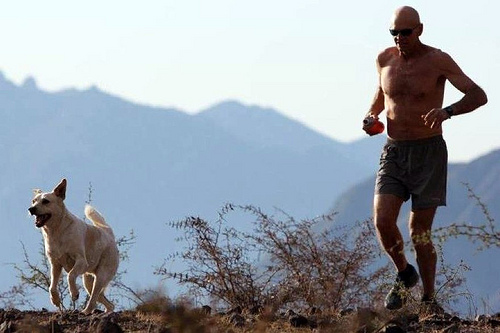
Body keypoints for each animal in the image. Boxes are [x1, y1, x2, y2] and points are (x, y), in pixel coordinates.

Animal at [28, 178, 119, 312]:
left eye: (45, 201)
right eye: (33, 201)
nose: (31, 209)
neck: (57, 231)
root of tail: (108, 233)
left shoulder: (81, 261)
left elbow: (70, 275)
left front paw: (74, 293)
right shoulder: (55, 264)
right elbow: (52, 286)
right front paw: (55, 300)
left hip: (101, 276)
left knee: (93, 299)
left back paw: (86, 312)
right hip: (88, 281)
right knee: (108, 304)